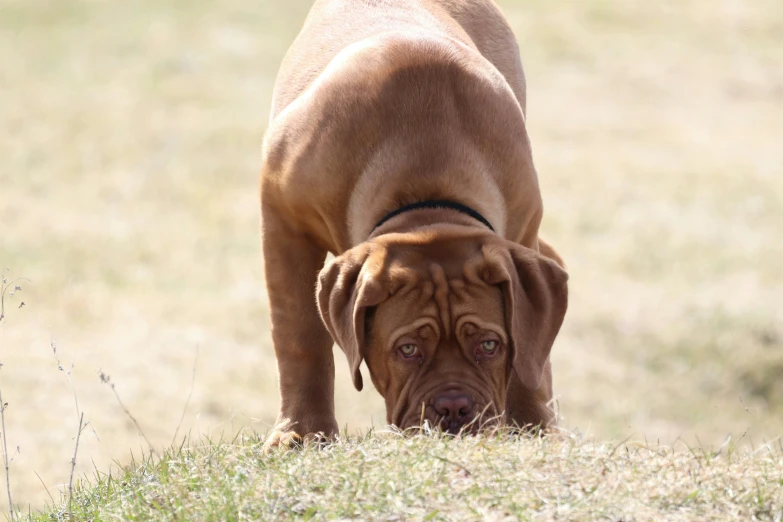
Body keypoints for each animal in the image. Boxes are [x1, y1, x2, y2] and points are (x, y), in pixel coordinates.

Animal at [260, 0, 568, 442]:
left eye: (489, 345)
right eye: (407, 349)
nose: (454, 408)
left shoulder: (522, 230)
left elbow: (529, 348)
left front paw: (531, 428)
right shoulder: (284, 220)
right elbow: (300, 335)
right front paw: (303, 434)